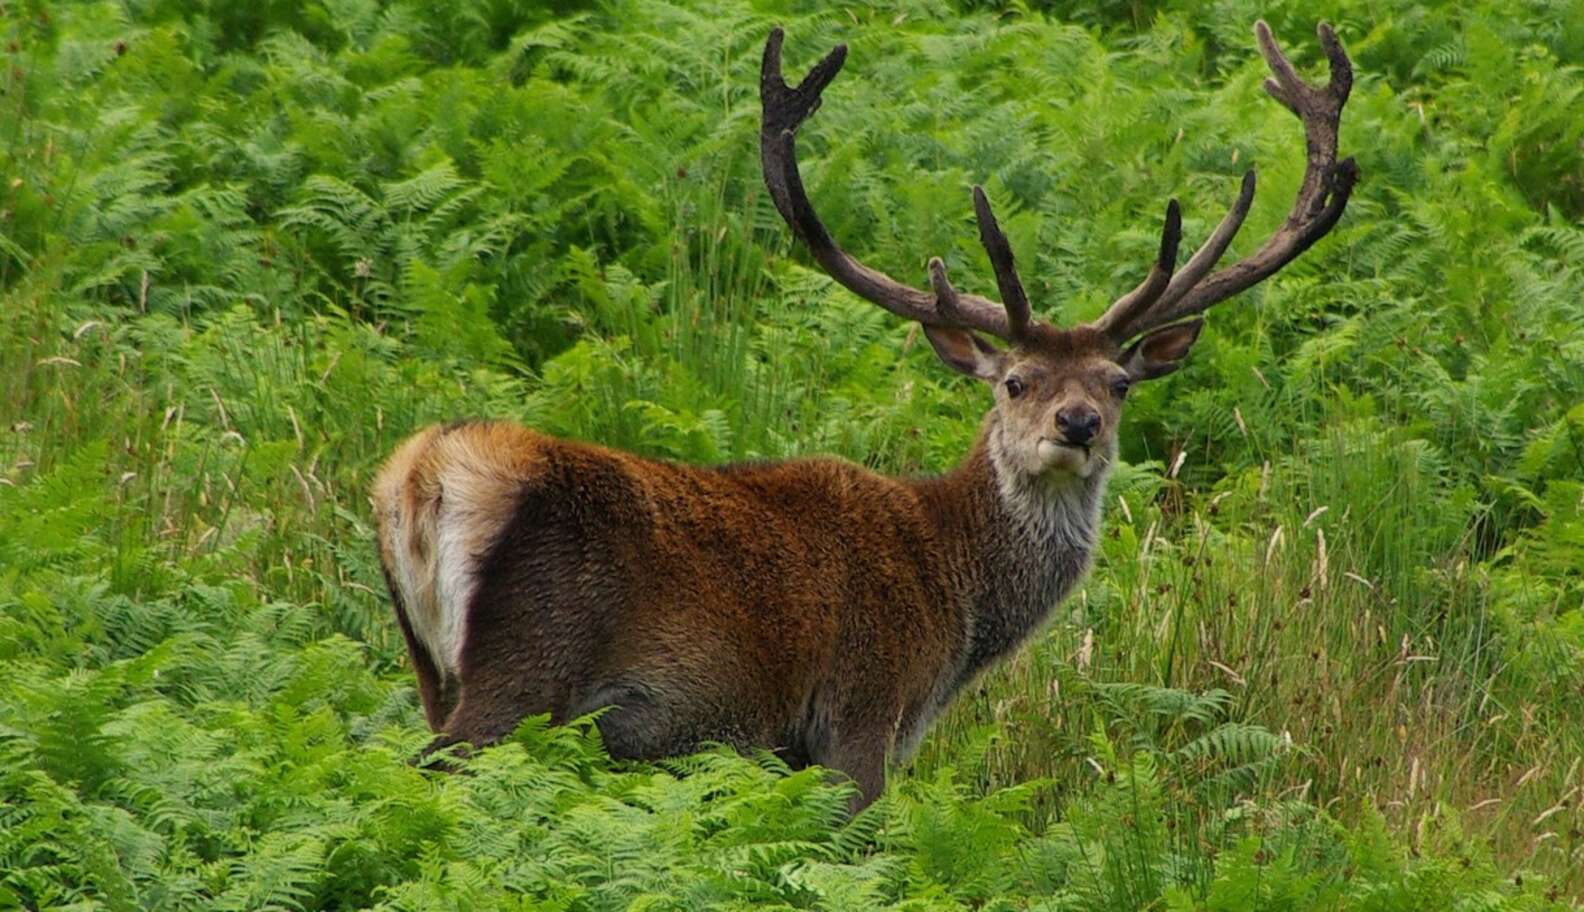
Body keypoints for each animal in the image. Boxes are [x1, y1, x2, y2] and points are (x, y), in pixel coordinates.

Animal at [367, 19, 1349, 810]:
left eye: (1118, 381)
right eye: (1015, 382)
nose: (1077, 426)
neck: (959, 610)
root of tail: (420, 476)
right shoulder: (863, 711)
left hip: (428, 664)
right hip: (522, 667)